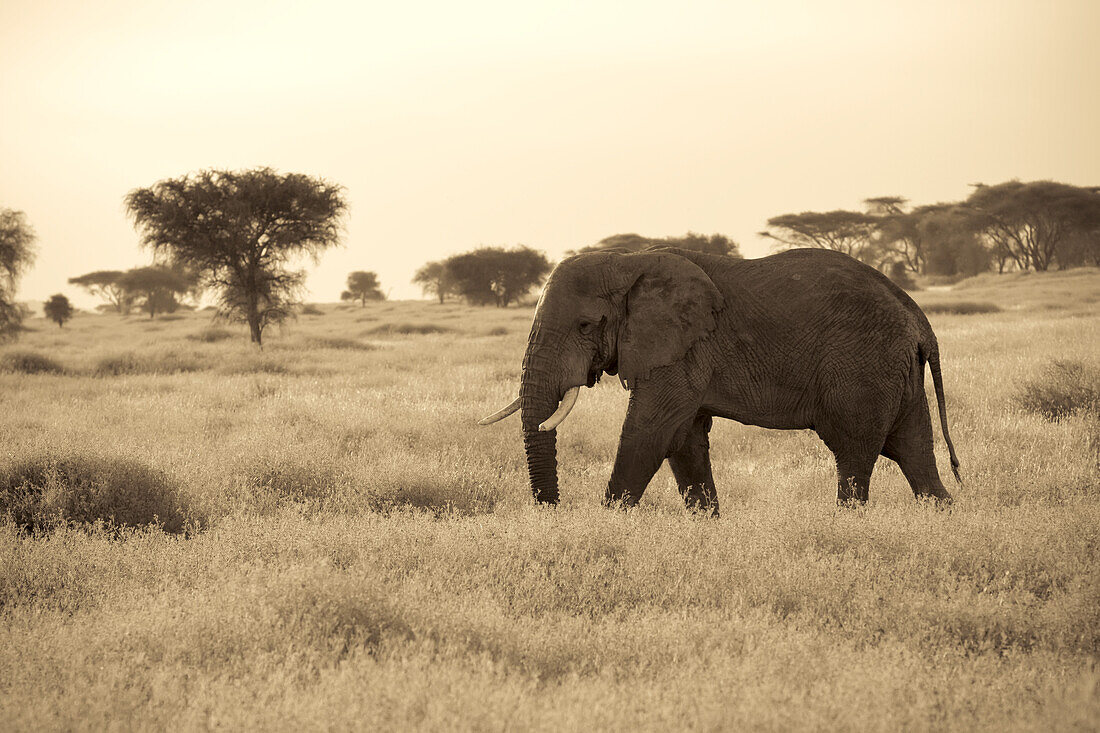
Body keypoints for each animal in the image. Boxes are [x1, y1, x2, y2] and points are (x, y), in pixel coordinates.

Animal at [477, 246, 959, 512]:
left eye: (584, 326)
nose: (554, 511)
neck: (627, 261)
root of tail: (920, 320)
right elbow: (684, 440)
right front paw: (707, 526)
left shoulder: (681, 348)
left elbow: (649, 432)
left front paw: (607, 521)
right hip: (895, 372)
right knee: (915, 456)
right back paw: (943, 516)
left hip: (864, 368)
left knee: (854, 457)